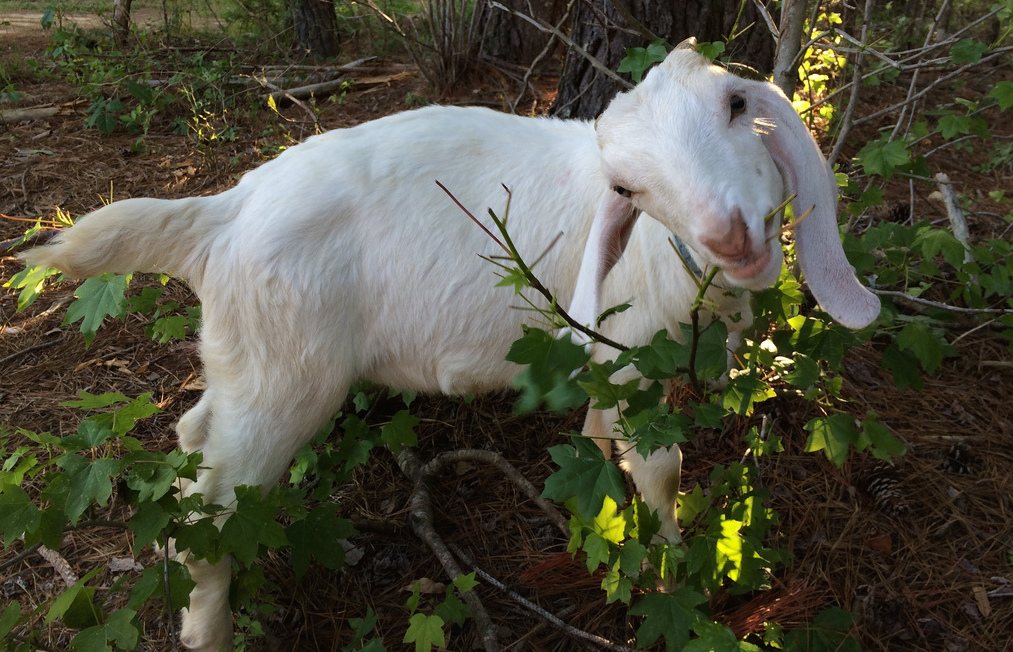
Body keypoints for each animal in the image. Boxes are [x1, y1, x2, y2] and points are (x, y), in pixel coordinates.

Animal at [21, 45, 879, 652]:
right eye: (626, 188)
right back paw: (209, 628)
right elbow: (660, 471)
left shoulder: (604, 359)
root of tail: (223, 214)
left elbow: (599, 440)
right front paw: (674, 577)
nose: (730, 235)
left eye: (736, 104)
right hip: (287, 379)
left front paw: (594, 520)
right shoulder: (630, 358)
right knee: (217, 499)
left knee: (194, 435)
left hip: (245, 355)